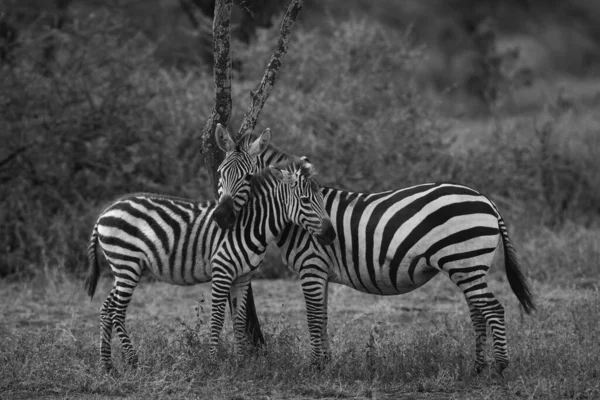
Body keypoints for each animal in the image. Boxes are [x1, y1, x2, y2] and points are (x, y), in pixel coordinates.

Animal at [84, 157, 336, 372]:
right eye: (305, 200)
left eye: (321, 199)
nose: (331, 234)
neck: (250, 225)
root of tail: (107, 210)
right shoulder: (222, 270)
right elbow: (217, 318)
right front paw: (213, 361)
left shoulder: (243, 276)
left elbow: (239, 319)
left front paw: (241, 361)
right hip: (127, 263)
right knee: (117, 312)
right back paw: (133, 361)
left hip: (125, 268)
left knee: (107, 308)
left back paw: (108, 365)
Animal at [211, 124, 536, 376]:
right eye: (219, 173)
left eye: (248, 178)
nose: (222, 217)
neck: (295, 217)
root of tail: (486, 200)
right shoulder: (321, 272)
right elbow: (323, 317)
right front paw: (326, 364)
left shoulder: (312, 266)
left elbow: (313, 317)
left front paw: (315, 367)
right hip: (466, 266)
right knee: (478, 311)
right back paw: (478, 367)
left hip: (465, 262)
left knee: (493, 308)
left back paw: (500, 368)